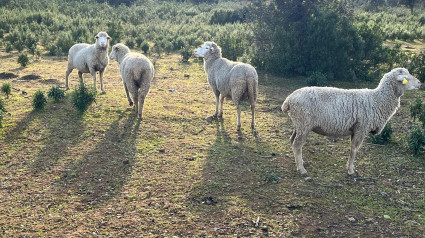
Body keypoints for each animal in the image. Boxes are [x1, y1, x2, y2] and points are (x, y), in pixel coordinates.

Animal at [282, 68, 420, 176]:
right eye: (406, 77)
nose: (420, 83)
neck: (377, 99)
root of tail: (288, 100)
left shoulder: (355, 129)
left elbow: (352, 149)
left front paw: (349, 167)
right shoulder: (361, 128)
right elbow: (354, 149)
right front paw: (350, 170)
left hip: (298, 125)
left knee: (292, 141)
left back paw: (299, 162)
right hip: (304, 124)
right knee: (297, 145)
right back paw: (302, 169)